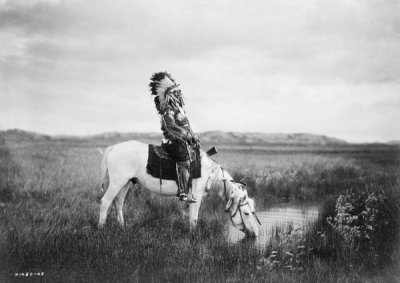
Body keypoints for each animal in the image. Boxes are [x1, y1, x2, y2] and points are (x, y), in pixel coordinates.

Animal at [98, 140, 260, 237]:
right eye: (246, 213)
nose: (255, 234)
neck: (209, 172)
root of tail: (113, 148)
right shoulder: (196, 196)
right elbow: (194, 218)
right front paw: (193, 237)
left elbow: (190, 217)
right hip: (117, 183)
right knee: (105, 202)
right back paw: (101, 228)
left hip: (125, 183)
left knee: (118, 203)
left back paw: (122, 227)